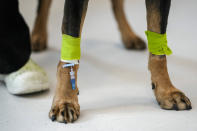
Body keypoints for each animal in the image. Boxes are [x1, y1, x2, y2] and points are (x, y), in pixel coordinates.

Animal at [30, 0, 191, 123]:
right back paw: (37, 36)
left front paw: (167, 91)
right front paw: (65, 100)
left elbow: (158, 49)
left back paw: (129, 36)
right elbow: (69, 55)